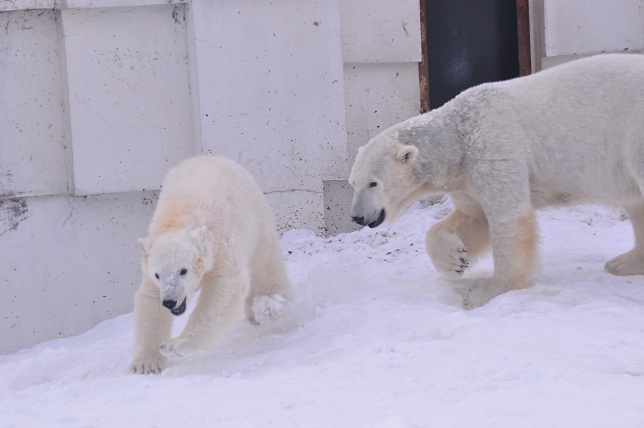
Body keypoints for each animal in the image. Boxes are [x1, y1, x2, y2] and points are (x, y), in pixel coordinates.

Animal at [131, 155, 292, 372]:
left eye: (183, 270)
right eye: (158, 275)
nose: (170, 302)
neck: (179, 220)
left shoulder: (221, 243)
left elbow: (223, 288)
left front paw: (176, 345)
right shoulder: (151, 265)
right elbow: (149, 300)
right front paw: (146, 363)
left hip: (256, 216)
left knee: (265, 263)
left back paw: (272, 305)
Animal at [350, 53, 644, 308]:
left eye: (373, 183)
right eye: (353, 183)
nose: (357, 217)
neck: (457, 138)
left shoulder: (494, 147)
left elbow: (508, 217)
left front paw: (487, 291)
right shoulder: (464, 179)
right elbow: (473, 218)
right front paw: (456, 260)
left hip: (634, 133)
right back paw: (625, 262)